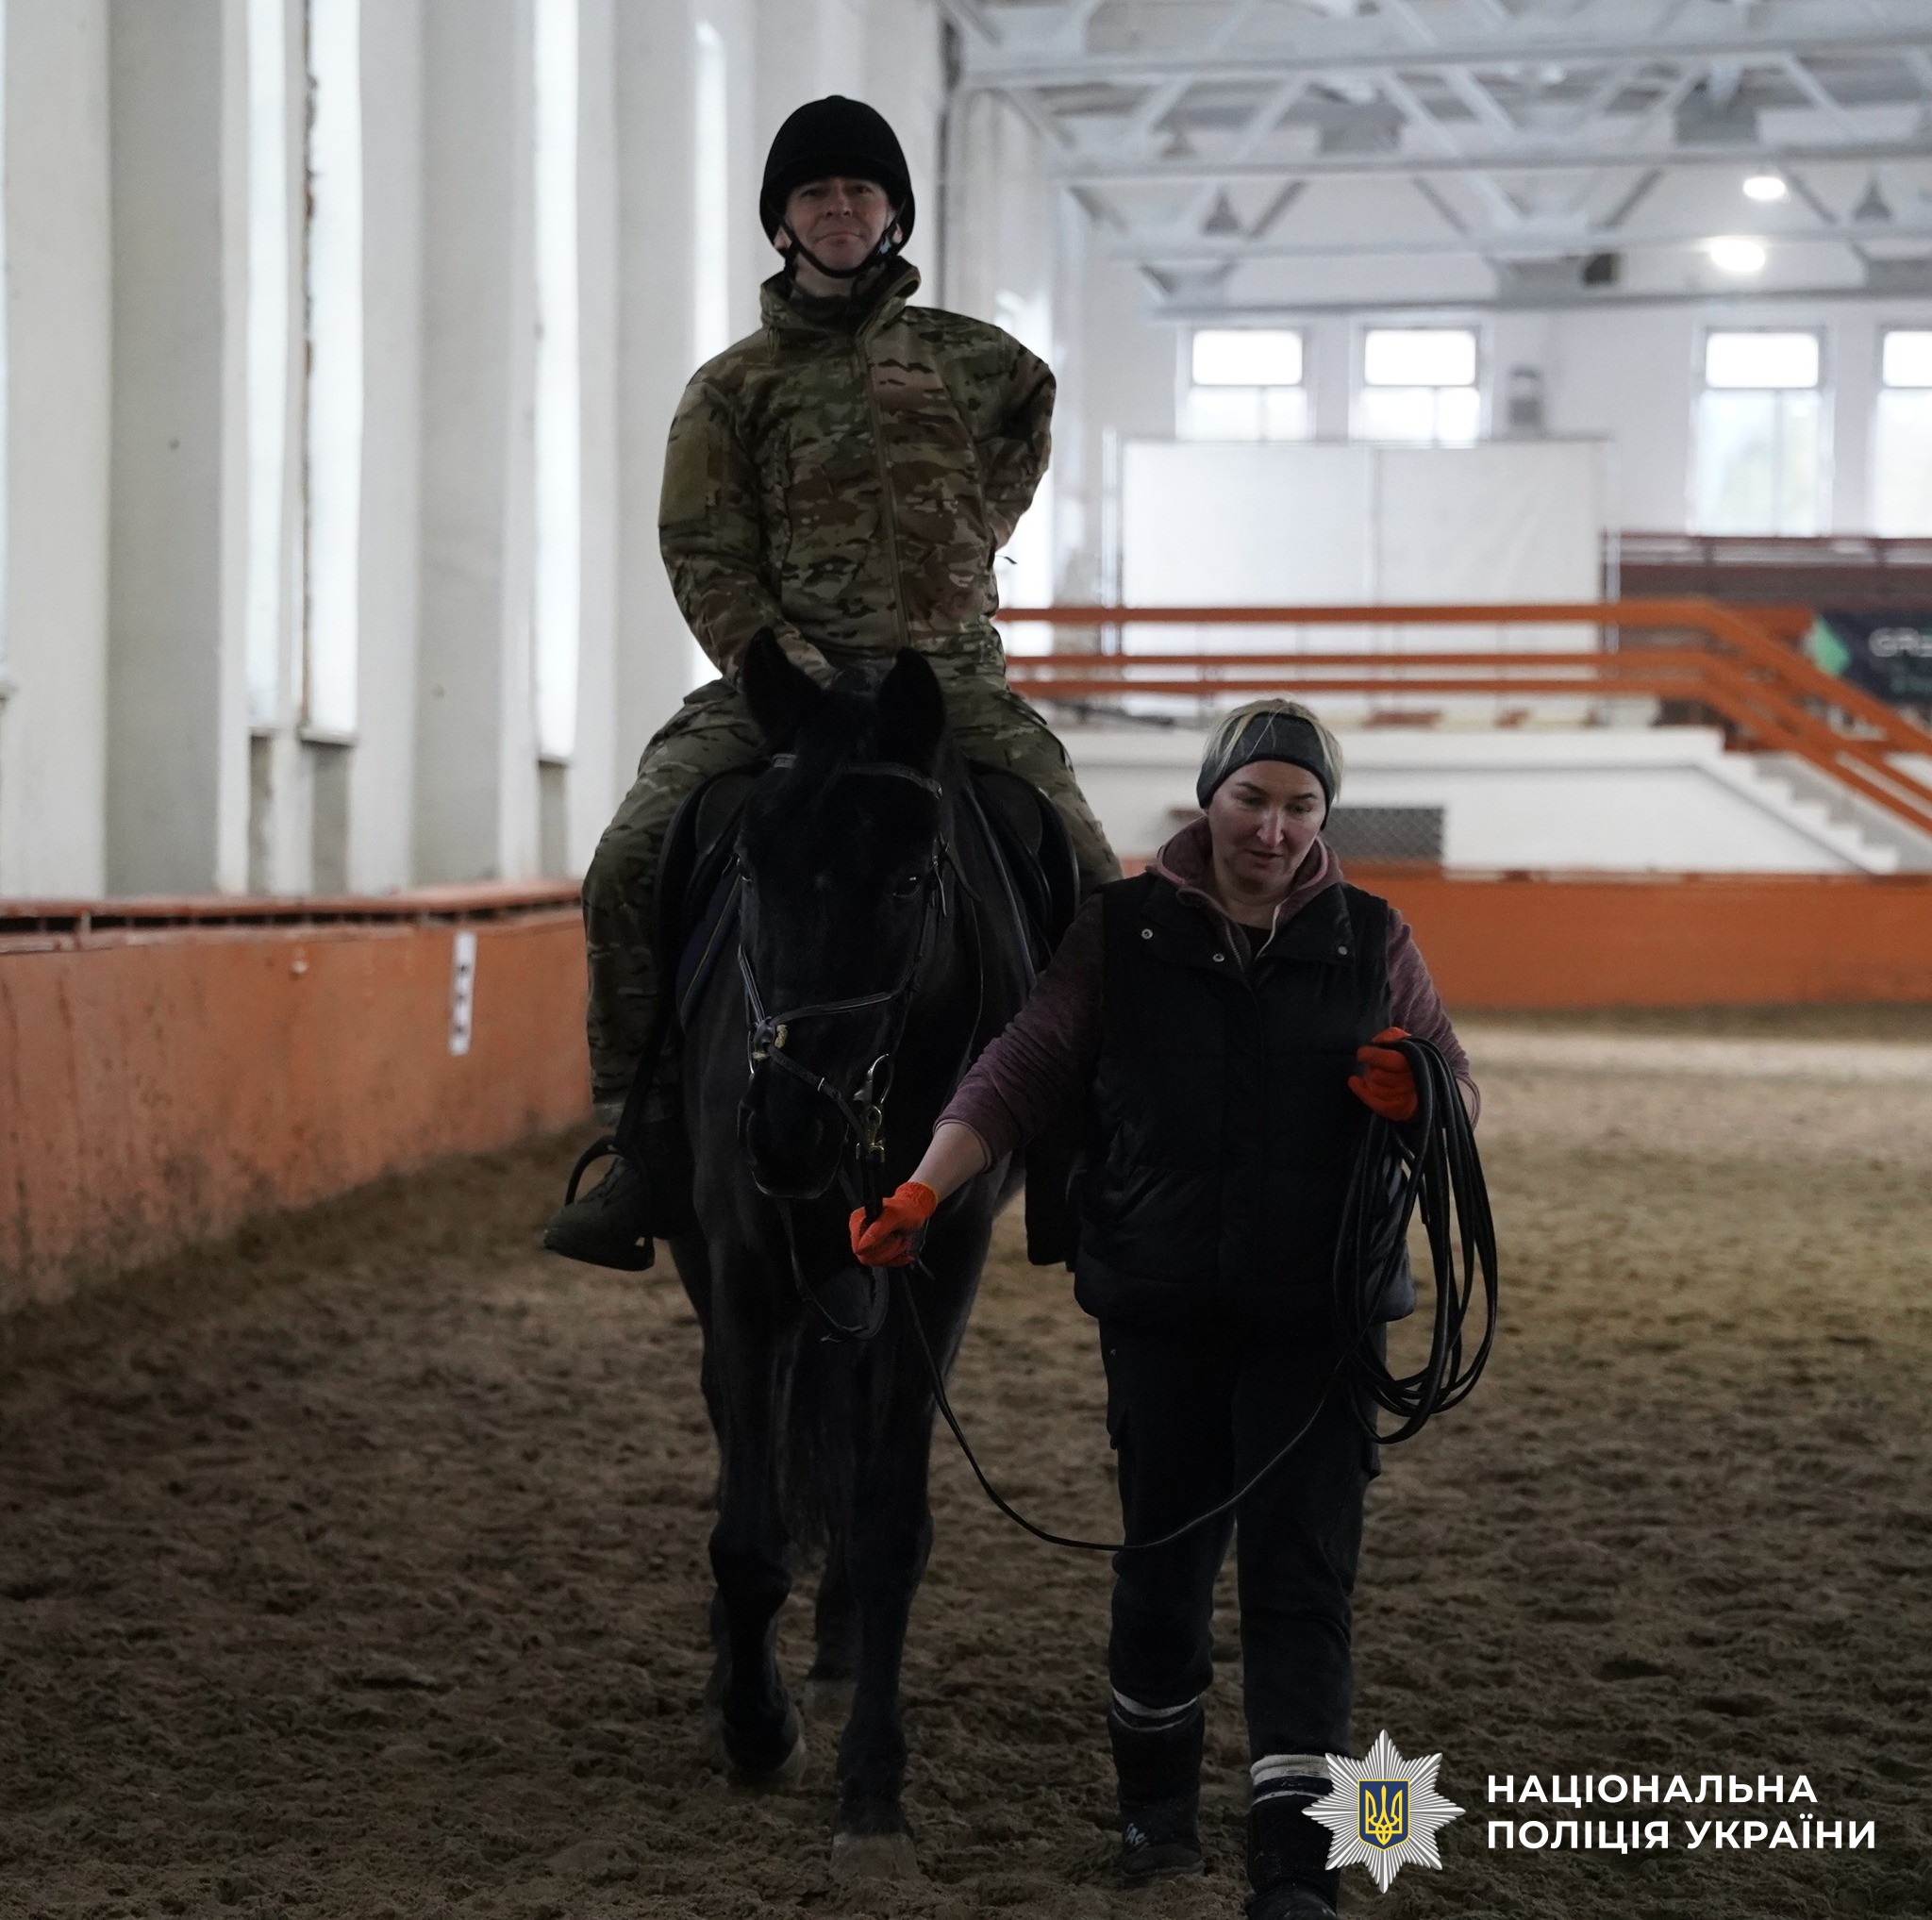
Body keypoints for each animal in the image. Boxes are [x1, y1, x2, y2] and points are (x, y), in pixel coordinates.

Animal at [665, 629, 1036, 1876]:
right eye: (748, 867)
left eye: (911, 880)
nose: (786, 1127)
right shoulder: (743, 1258)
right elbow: (747, 1527)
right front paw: (753, 1722)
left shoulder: (941, 1261)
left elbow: (883, 1524)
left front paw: (871, 1790)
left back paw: (828, 1655)